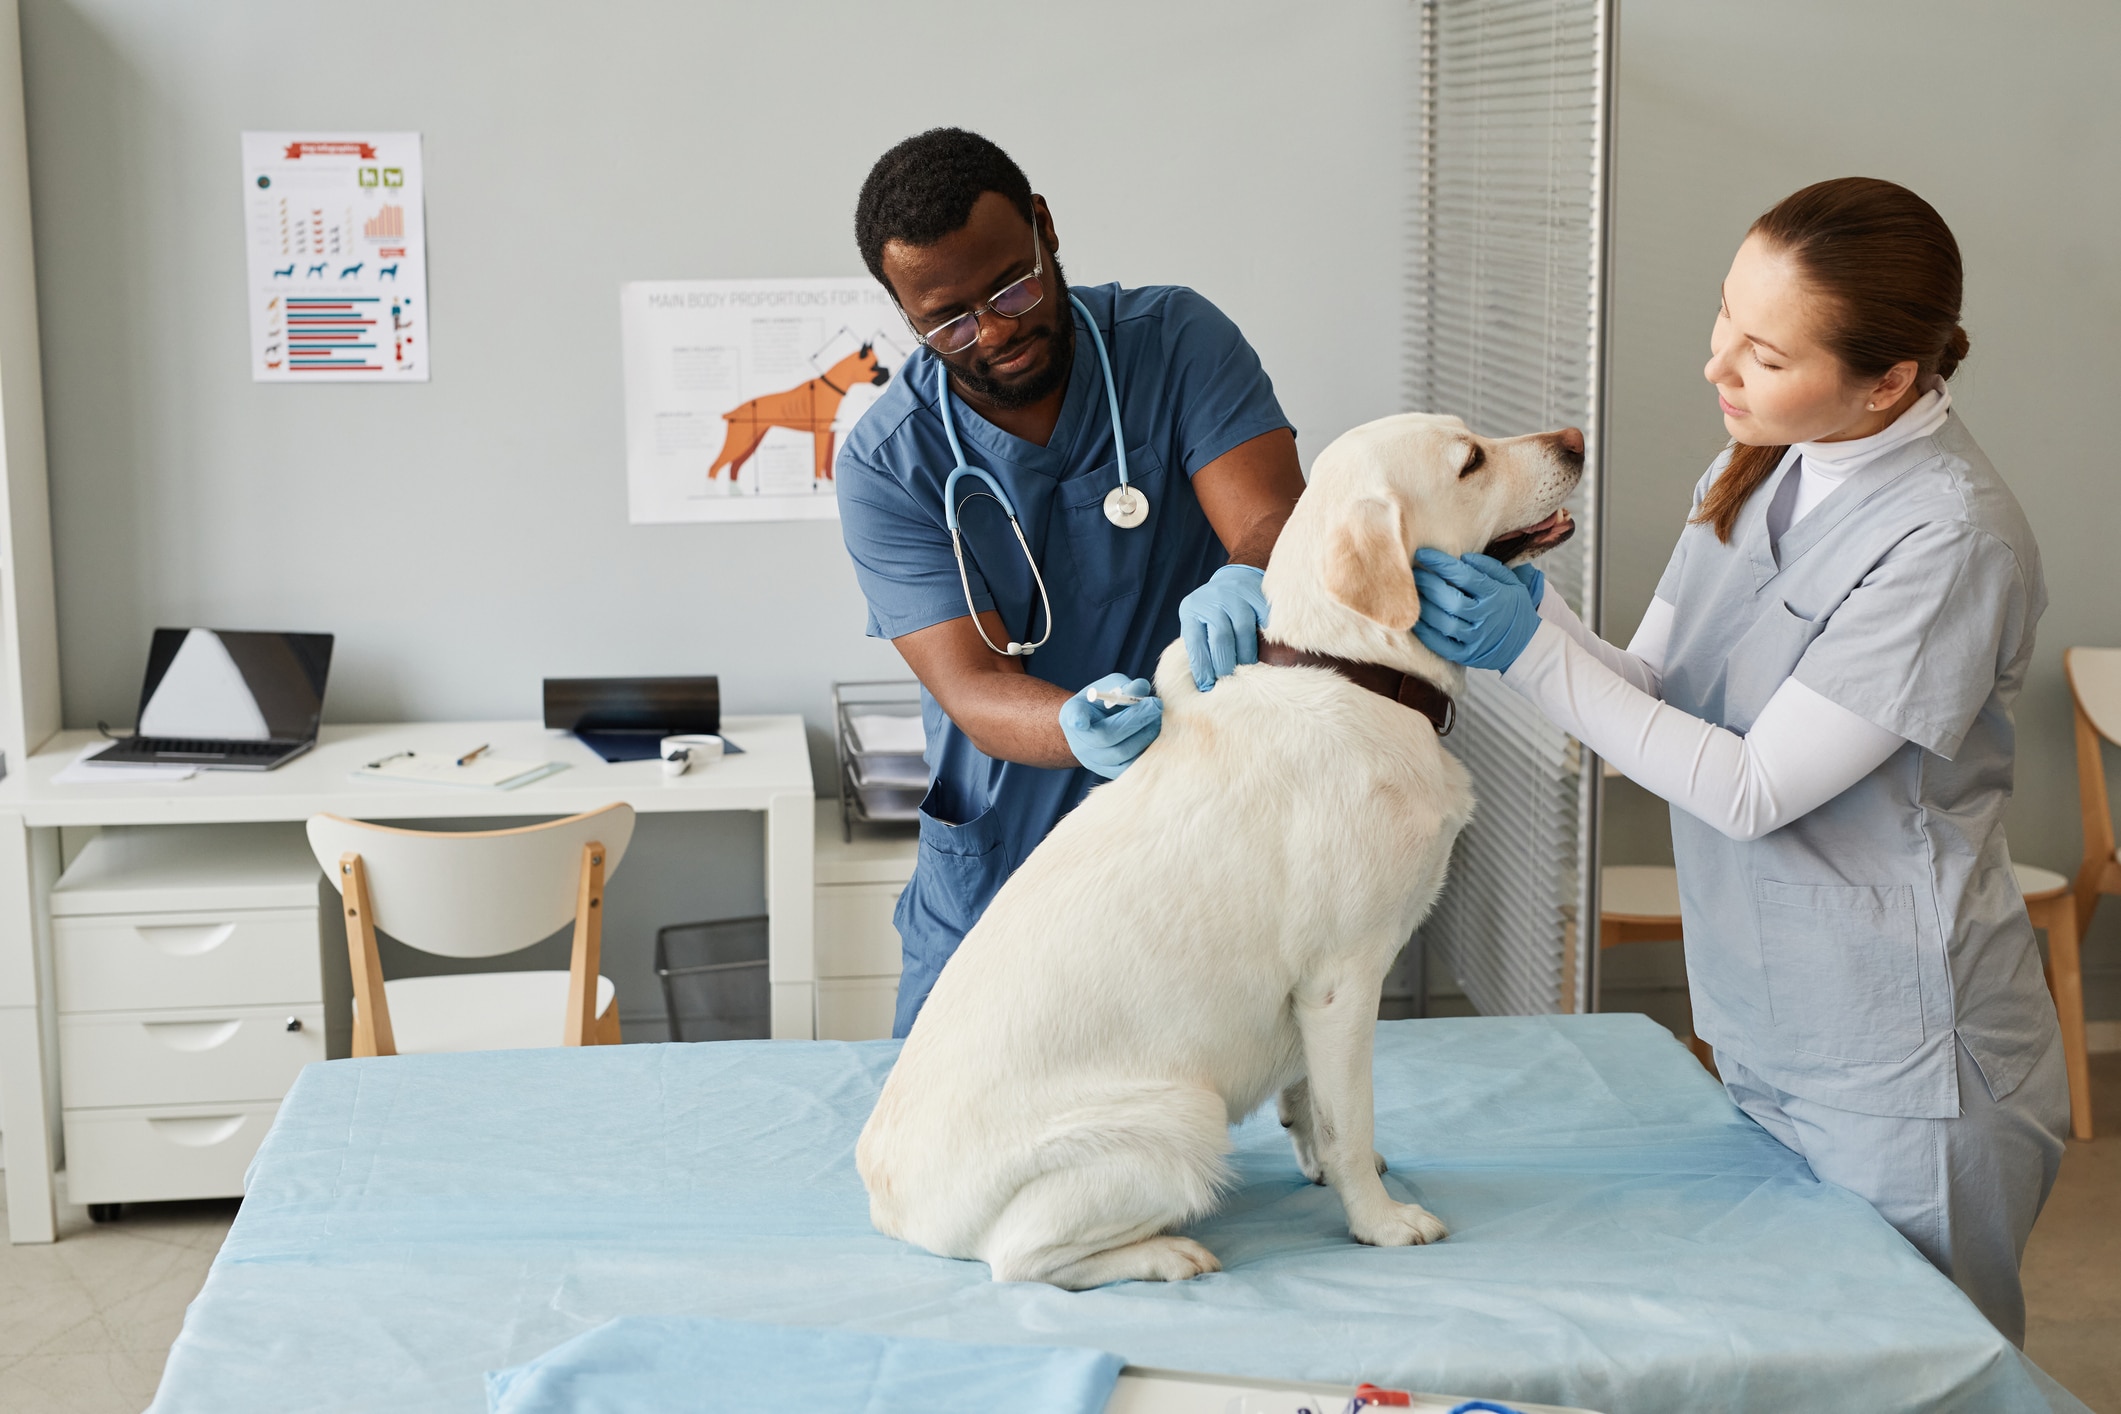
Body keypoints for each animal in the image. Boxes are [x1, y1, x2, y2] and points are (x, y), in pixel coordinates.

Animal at [856, 411, 1578, 1297]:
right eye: (1470, 460)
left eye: (1471, 436)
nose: (1577, 440)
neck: (1353, 669)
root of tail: (893, 1207)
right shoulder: (1342, 982)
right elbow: (1348, 1115)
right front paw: (1377, 1220)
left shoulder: (1312, 1004)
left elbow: (1312, 1105)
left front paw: (1325, 1169)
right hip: (1182, 1115)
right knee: (1020, 1262)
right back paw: (1167, 1254)